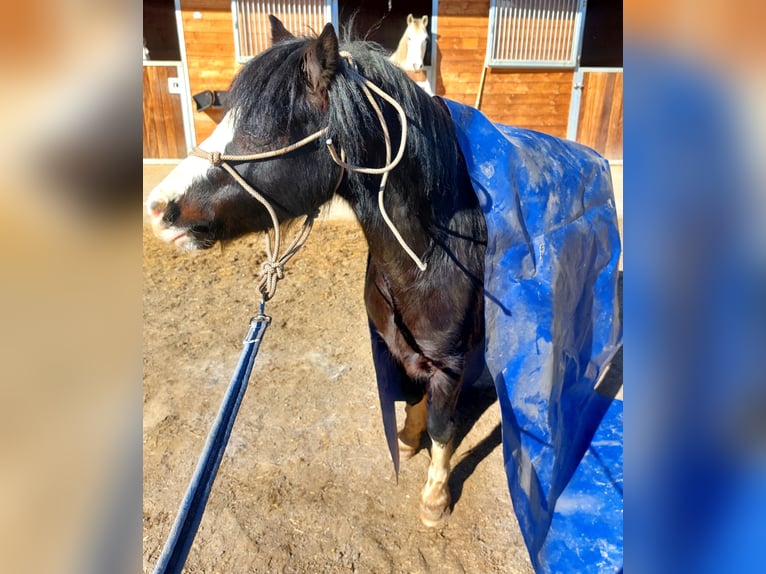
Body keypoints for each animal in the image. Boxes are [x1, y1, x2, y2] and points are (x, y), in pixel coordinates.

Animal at [147, 16, 488, 532]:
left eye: (263, 128)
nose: (158, 208)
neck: (428, 258)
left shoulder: (450, 363)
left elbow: (442, 425)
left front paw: (434, 498)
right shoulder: (397, 346)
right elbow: (413, 401)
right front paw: (408, 441)